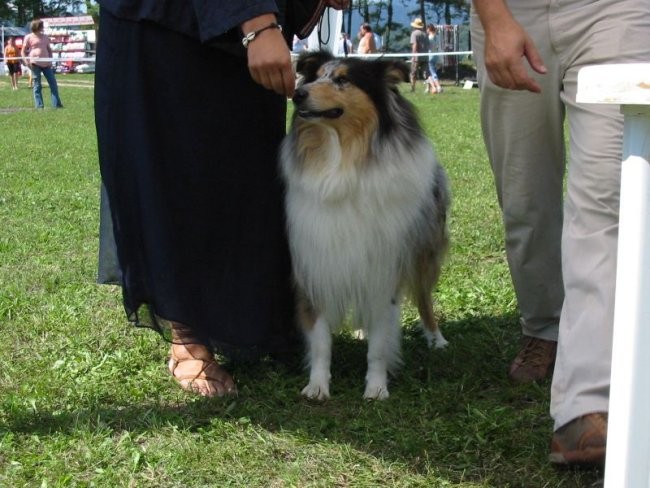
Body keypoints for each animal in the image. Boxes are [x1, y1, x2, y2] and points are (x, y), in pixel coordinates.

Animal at [278, 50, 450, 400]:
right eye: (315, 76)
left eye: (343, 79)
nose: (298, 93)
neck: (342, 159)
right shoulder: (315, 262)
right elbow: (320, 340)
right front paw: (317, 386)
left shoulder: (385, 267)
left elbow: (380, 344)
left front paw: (376, 387)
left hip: (423, 253)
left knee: (424, 298)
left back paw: (436, 338)